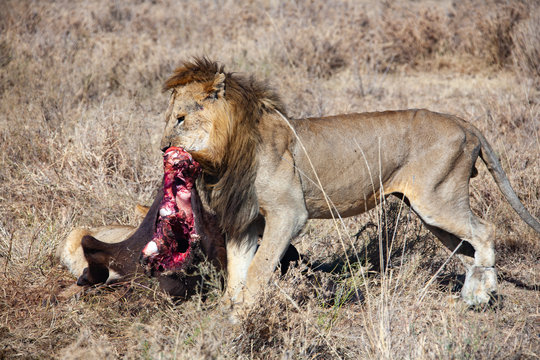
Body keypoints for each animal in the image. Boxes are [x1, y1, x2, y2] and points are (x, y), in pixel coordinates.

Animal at [159, 57, 540, 310]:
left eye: (180, 119)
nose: (162, 148)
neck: (226, 154)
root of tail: (464, 122)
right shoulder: (246, 219)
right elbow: (236, 270)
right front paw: (227, 315)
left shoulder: (288, 213)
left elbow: (257, 269)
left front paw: (245, 315)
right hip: (431, 209)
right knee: (466, 249)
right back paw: (474, 294)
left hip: (439, 201)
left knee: (485, 231)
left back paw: (483, 293)